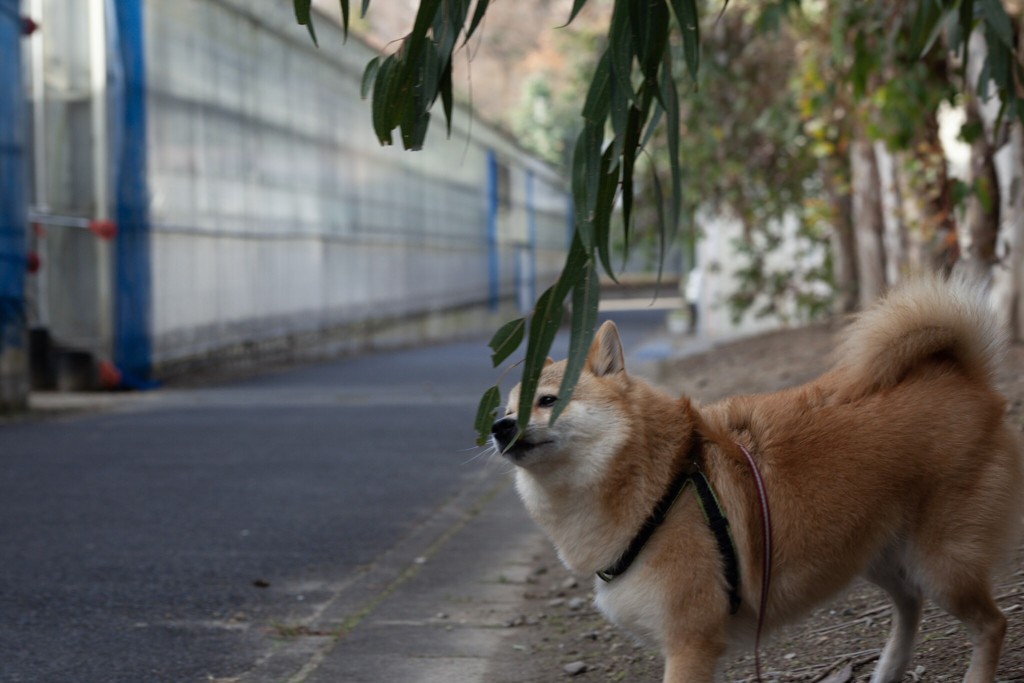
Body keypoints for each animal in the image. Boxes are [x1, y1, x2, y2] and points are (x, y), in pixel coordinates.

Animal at [491, 278, 1019, 683]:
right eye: (509, 408)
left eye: (548, 400)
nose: (498, 427)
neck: (658, 480)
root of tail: (963, 377)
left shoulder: (690, 644)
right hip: (877, 553)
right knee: (910, 604)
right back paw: (886, 672)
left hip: (943, 564)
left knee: (992, 624)